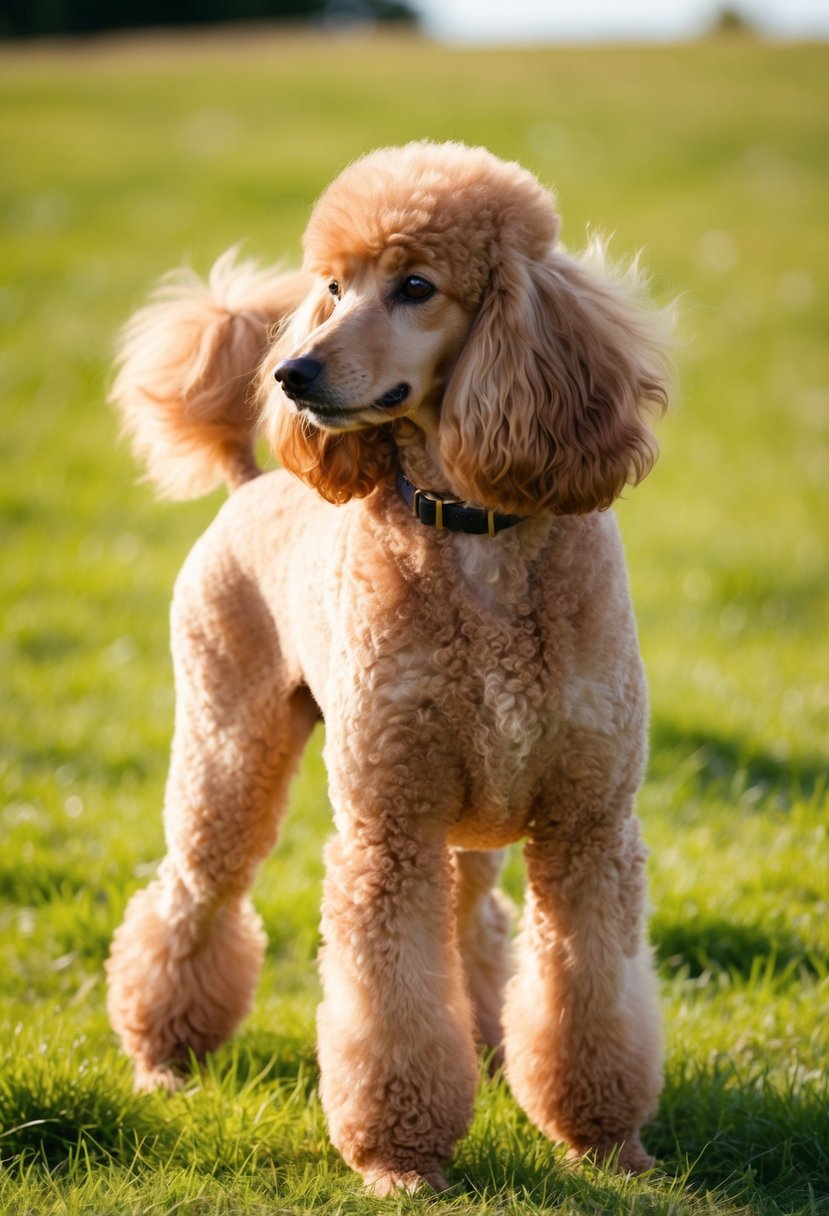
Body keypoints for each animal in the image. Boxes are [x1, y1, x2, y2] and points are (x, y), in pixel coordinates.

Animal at [105, 138, 670, 1191]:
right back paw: (164, 1062)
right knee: (191, 898)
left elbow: (590, 999)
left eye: (416, 287)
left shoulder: (586, 825)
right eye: (331, 286)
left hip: (467, 825)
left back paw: (488, 1048)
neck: (474, 526)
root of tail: (251, 483)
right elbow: (390, 1008)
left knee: (474, 930)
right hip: (230, 748)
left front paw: (605, 1142)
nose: (293, 372)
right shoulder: (388, 828)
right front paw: (401, 1159)